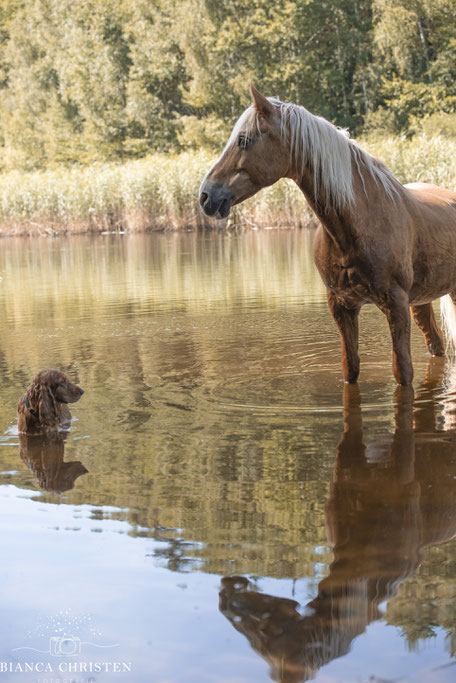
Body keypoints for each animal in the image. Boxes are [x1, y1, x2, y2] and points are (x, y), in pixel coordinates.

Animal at [200, 85, 456, 384]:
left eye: (243, 139)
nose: (206, 196)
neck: (358, 222)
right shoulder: (341, 306)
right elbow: (350, 367)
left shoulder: (396, 305)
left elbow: (402, 371)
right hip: (422, 302)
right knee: (436, 344)